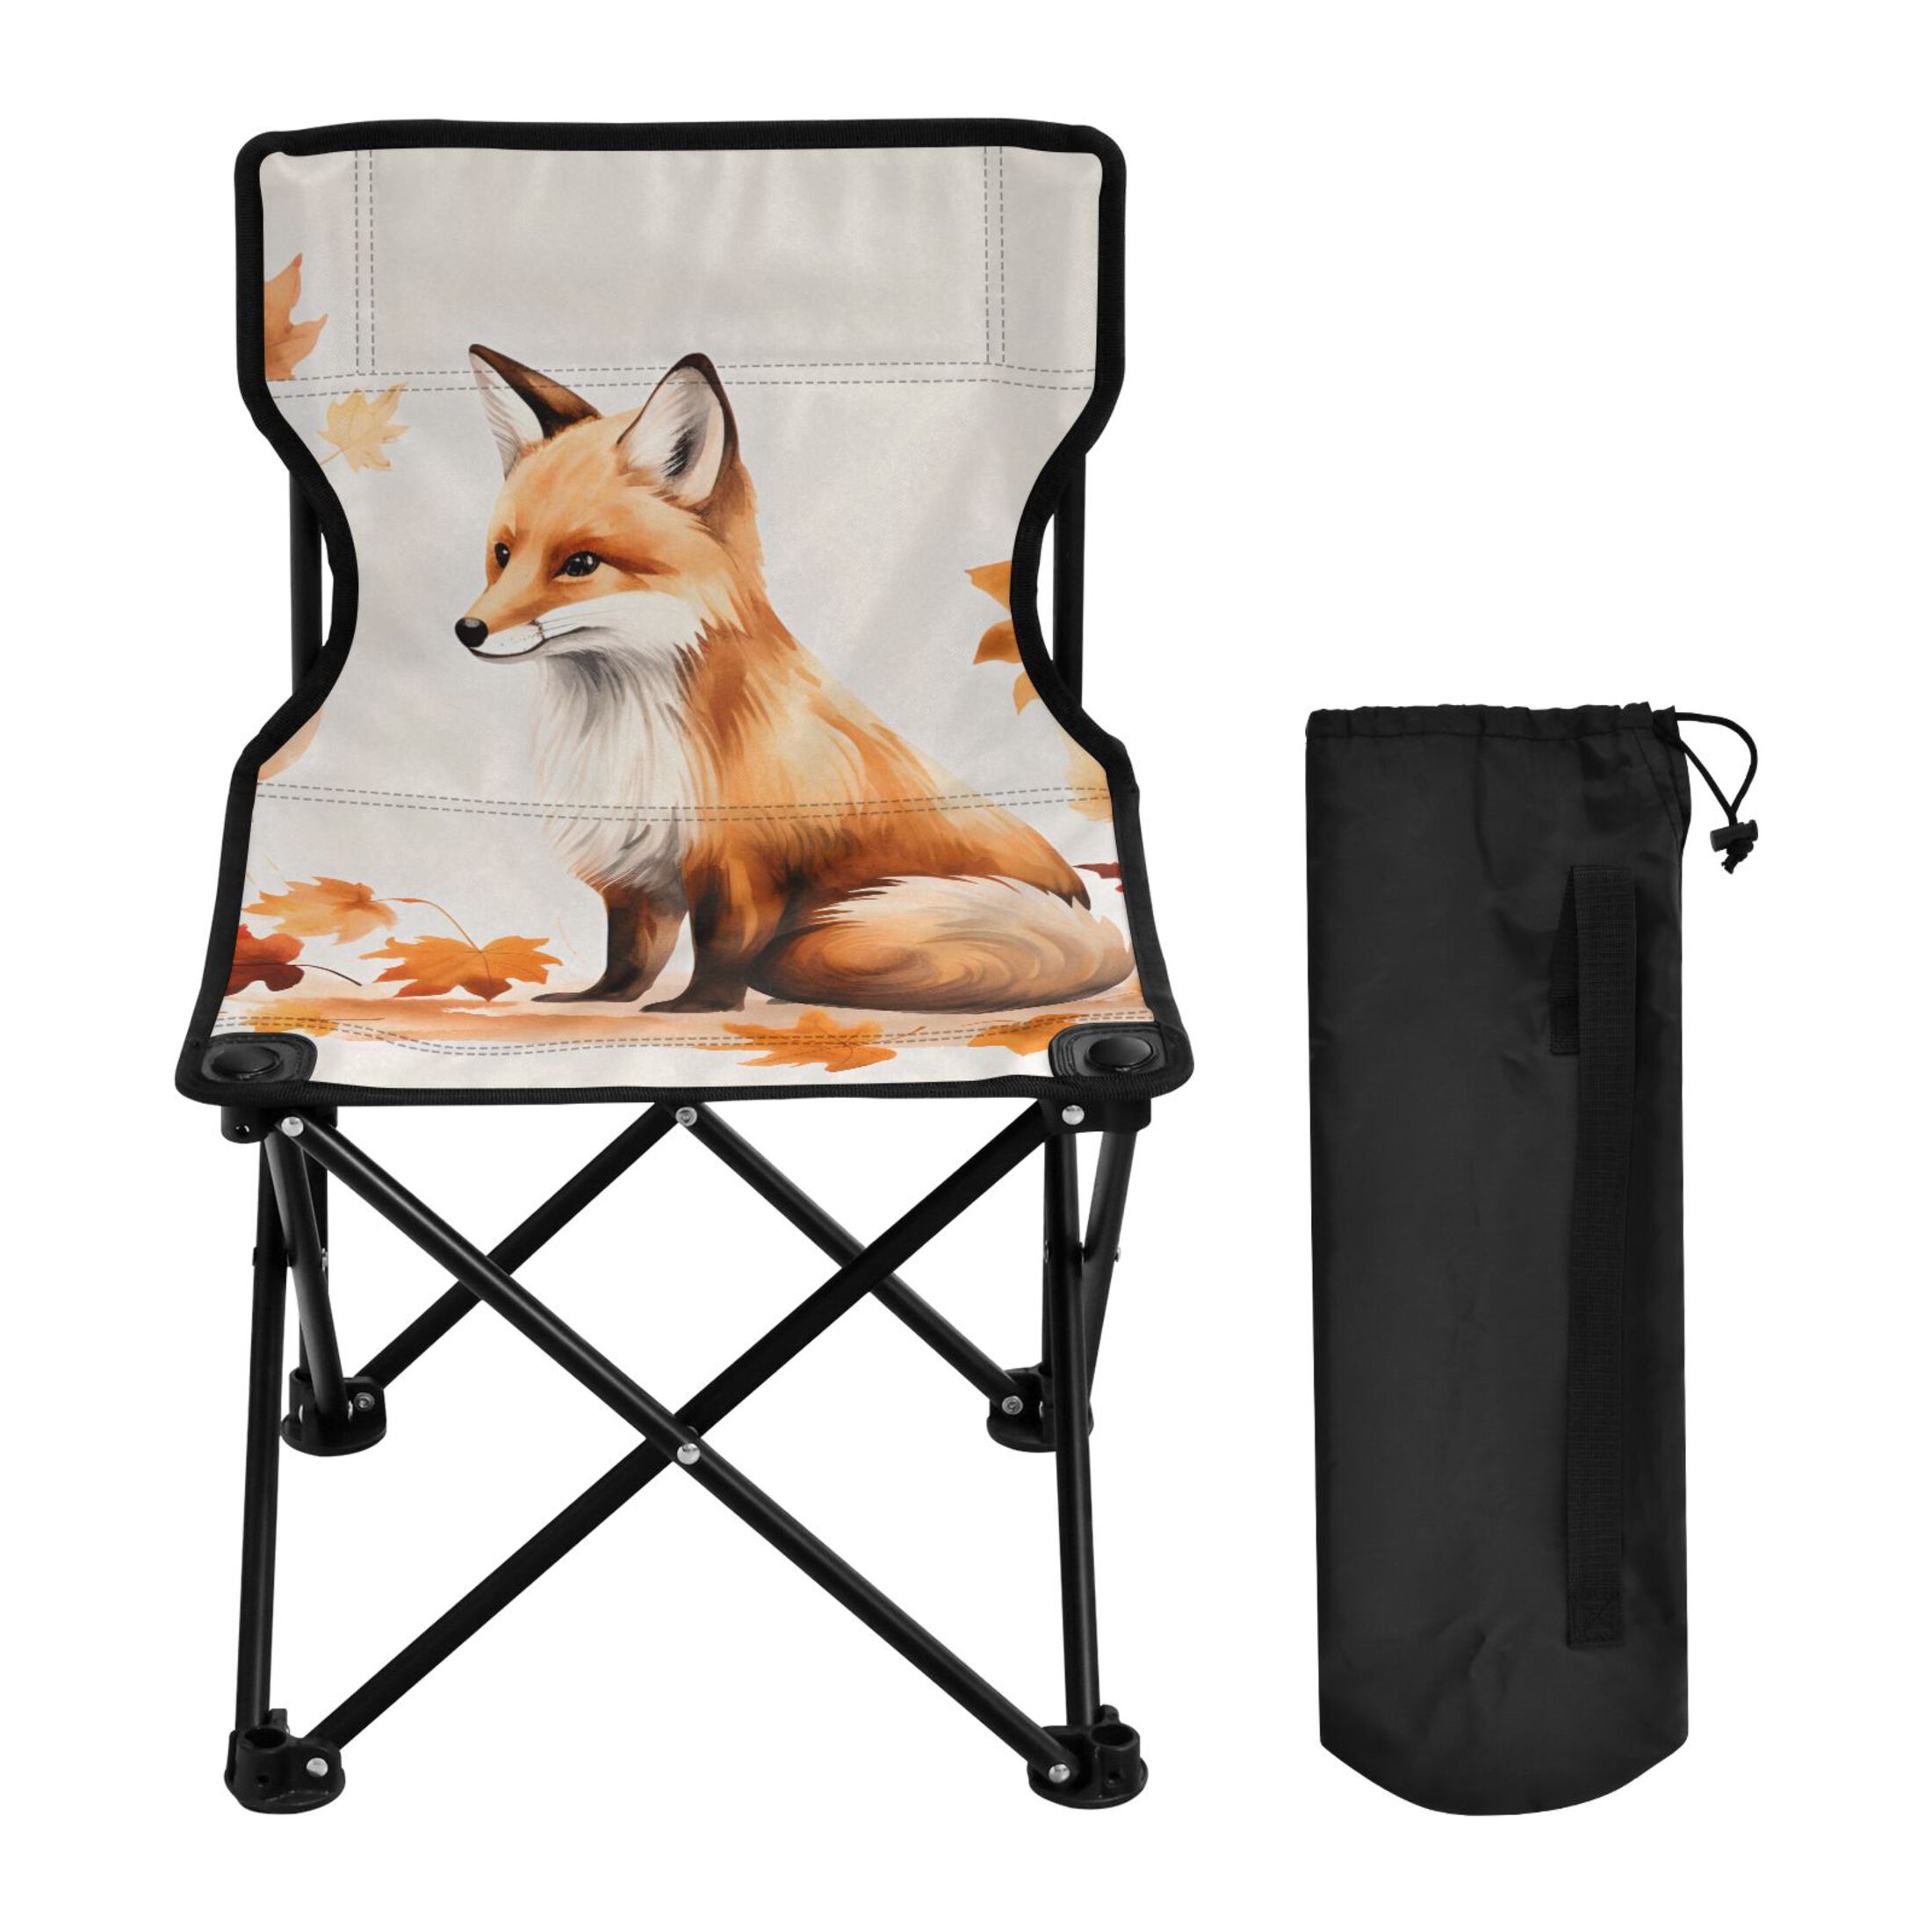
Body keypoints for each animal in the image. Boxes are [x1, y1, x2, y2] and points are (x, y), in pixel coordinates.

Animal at [454, 346, 1132, 1015]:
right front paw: (595, 999)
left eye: (580, 564)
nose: (468, 630)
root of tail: (1090, 914)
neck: (627, 732)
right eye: (504, 555)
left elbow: (723, 947)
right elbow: (629, 954)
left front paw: (697, 1009)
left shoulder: (740, 863)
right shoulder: (634, 871)